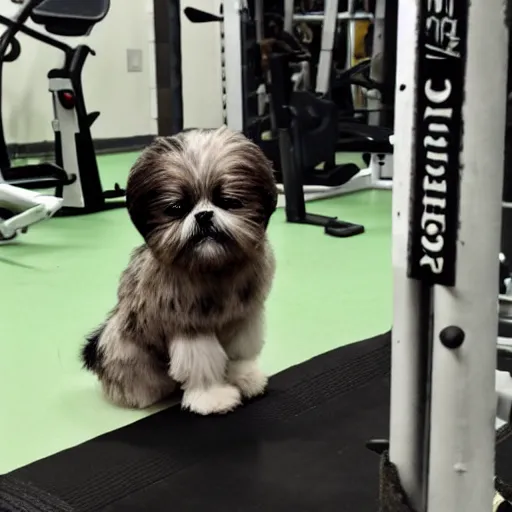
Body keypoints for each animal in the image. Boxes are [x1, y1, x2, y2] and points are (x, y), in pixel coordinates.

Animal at [81, 127, 278, 416]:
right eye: (177, 208)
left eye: (228, 201)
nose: (204, 215)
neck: (213, 267)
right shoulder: (190, 327)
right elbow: (203, 365)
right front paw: (212, 398)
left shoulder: (243, 319)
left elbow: (239, 355)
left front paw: (245, 378)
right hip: (128, 350)